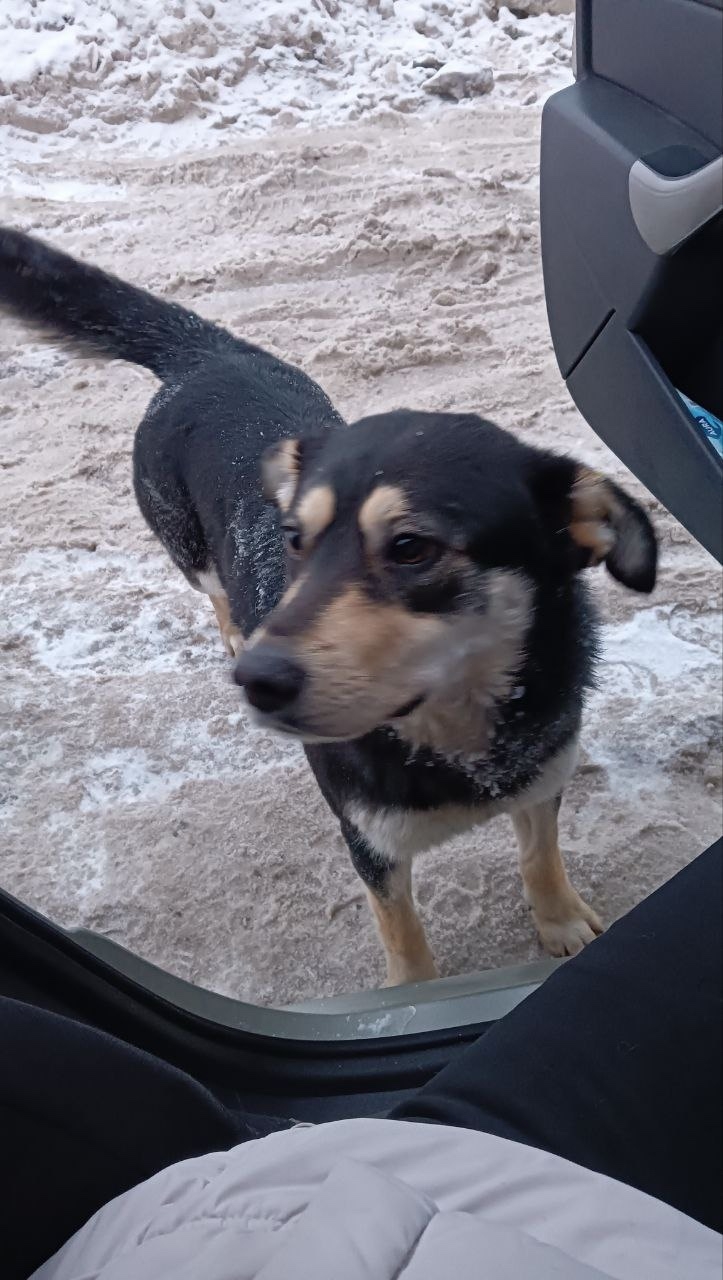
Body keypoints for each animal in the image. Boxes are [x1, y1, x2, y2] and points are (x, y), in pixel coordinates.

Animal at [0, 227, 657, 986]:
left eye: (411, 547)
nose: (257, 681)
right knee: (215, 592)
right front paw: (412, 991)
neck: (455, 738)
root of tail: (205, 351)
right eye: (293, 538)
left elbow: (539, 853)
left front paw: (560, 921)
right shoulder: (369, 841)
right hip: (188, 549)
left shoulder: (542, 775)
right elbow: (404, 938)